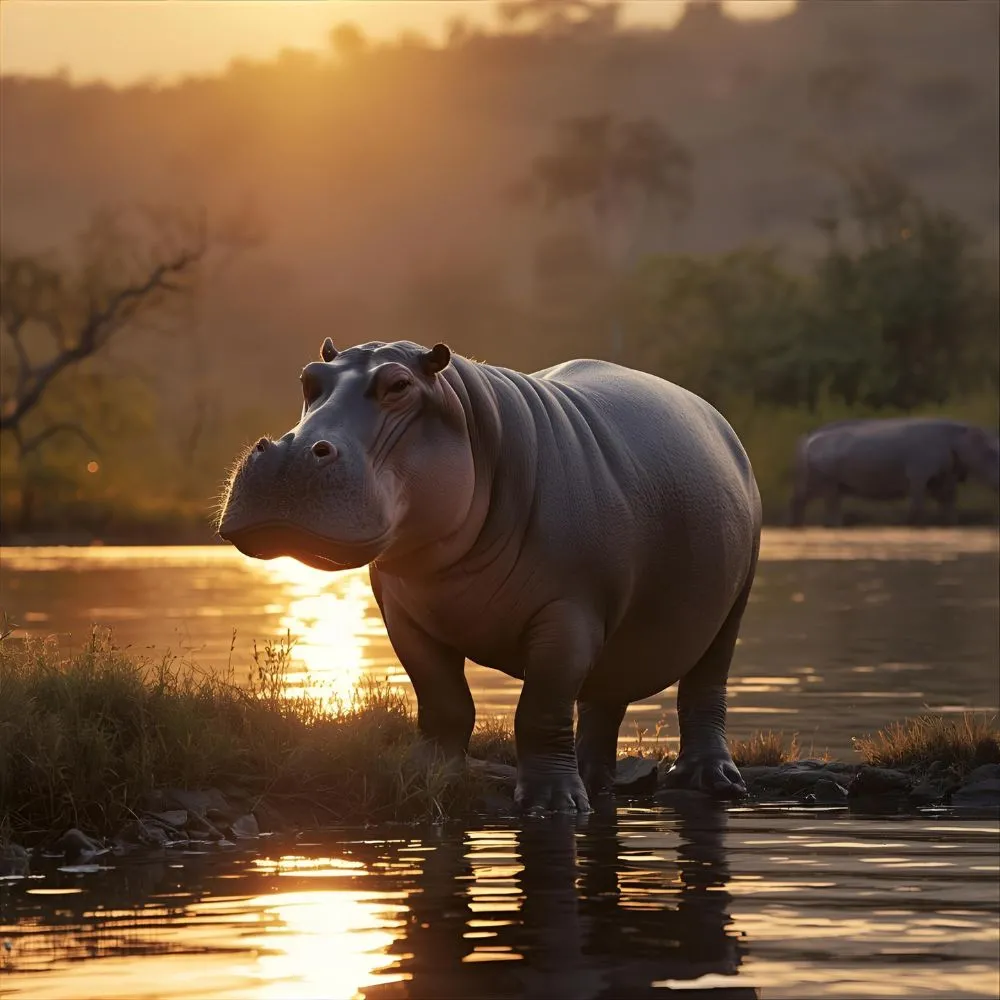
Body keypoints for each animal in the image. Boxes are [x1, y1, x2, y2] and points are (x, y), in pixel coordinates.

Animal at [218, 339, 761, 812]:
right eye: (308, 378)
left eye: (399, 385)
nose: (289, 453)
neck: (473, 423)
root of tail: (717, 419)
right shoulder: (403, 614)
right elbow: (442, 701)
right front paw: (427, 774)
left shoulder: (569, 615)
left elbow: (540, 711)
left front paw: (553, 805)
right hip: (618, 638)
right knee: (603, 702)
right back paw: (593, 780)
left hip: (730, 608)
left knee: (704, 689)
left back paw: (711, 781)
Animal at [789, 417, 1000, 526]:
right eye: (992, 451)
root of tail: (807, 439)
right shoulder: (918, 474)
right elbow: (917, 505)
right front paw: (912, 523)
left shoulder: (945, 478)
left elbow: (949, 505)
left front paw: (951, 523)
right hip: (827, 482)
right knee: (829, 512)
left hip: (814, 483)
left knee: (798, 503)